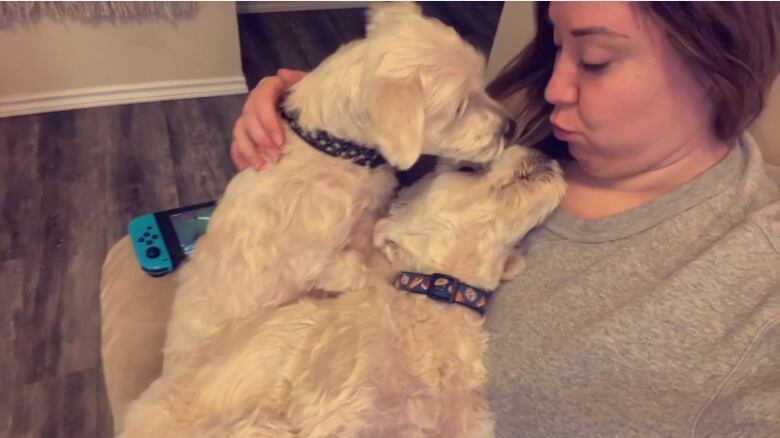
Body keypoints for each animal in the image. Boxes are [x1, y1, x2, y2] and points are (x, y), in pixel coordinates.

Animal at [165, 1, 516, 362]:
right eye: (459, 108)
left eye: (482, 84)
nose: (511, 127)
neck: (339, 151)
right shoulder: (311, 260)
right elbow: (355, 268)